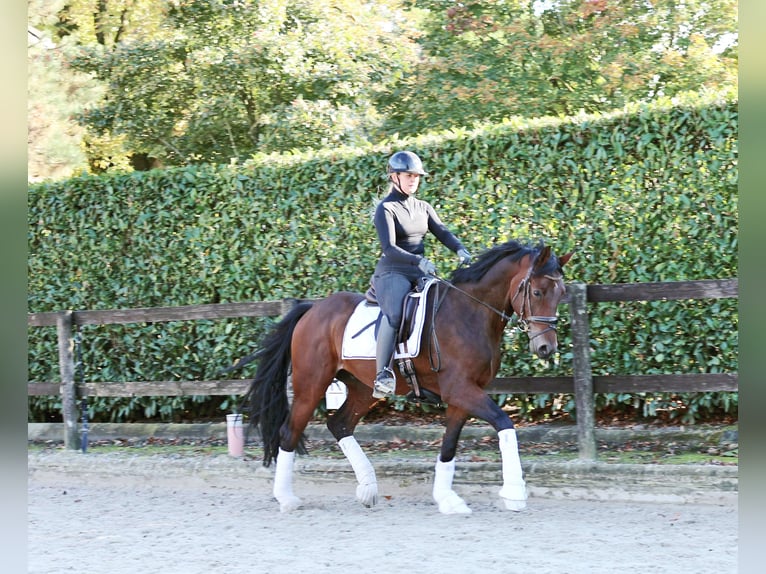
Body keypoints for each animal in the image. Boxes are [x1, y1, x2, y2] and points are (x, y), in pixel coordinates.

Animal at [243, 240, 572, 516]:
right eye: (537, 292)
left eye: (561, 294)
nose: (546, 347)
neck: (470, 313)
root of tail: (313, 308)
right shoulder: (461, 390)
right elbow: (505, 424)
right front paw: (514, 493)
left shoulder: (463, 396)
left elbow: (448, 446)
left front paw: (447, 499)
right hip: (311, 384)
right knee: (289, 431)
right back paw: (287, 498)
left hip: (363, 388)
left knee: (340, 424)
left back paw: (367, 489)